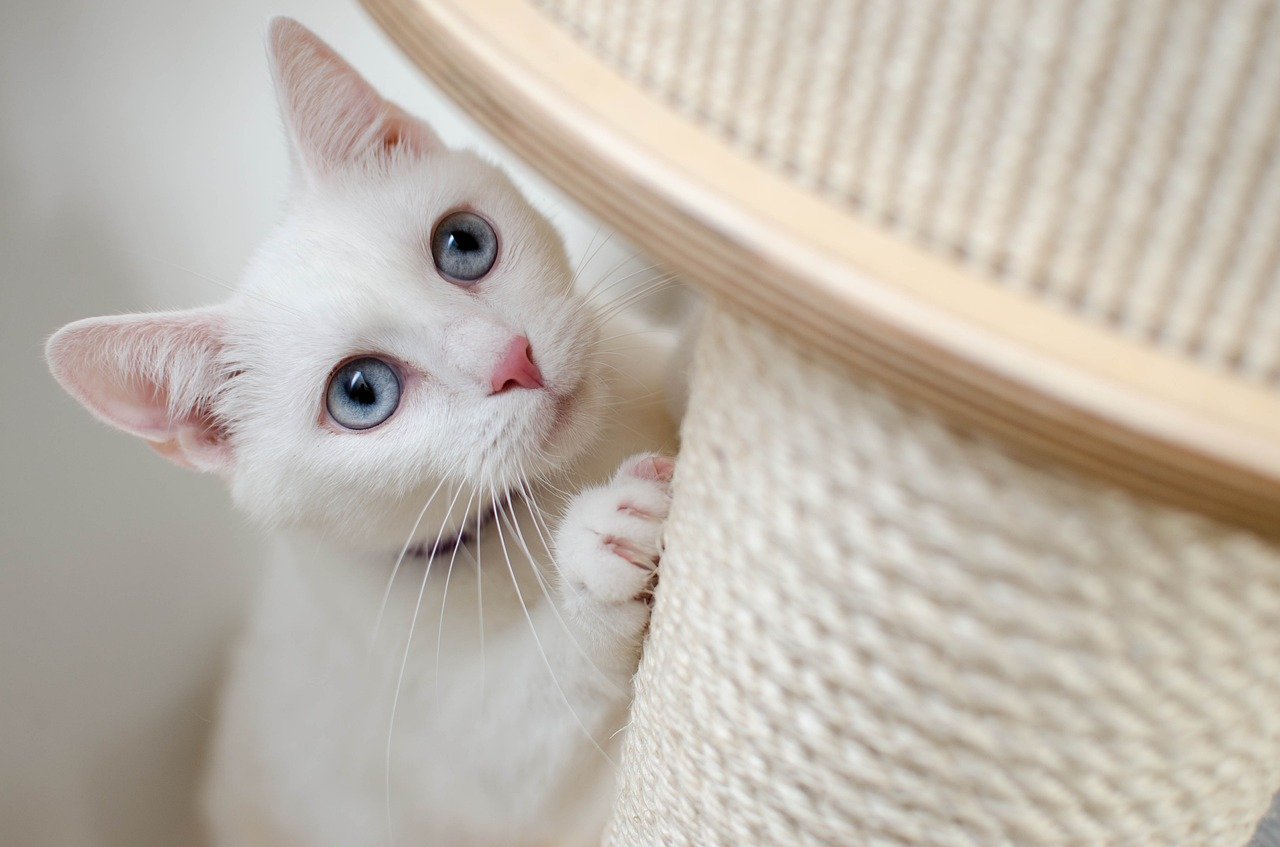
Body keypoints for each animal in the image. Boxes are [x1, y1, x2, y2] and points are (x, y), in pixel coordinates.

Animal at [43, 19, 675, 847]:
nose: (512, 359)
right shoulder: (446, 753)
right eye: (361, 393)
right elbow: (524, 732)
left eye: (463, 243)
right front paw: (600, 548)